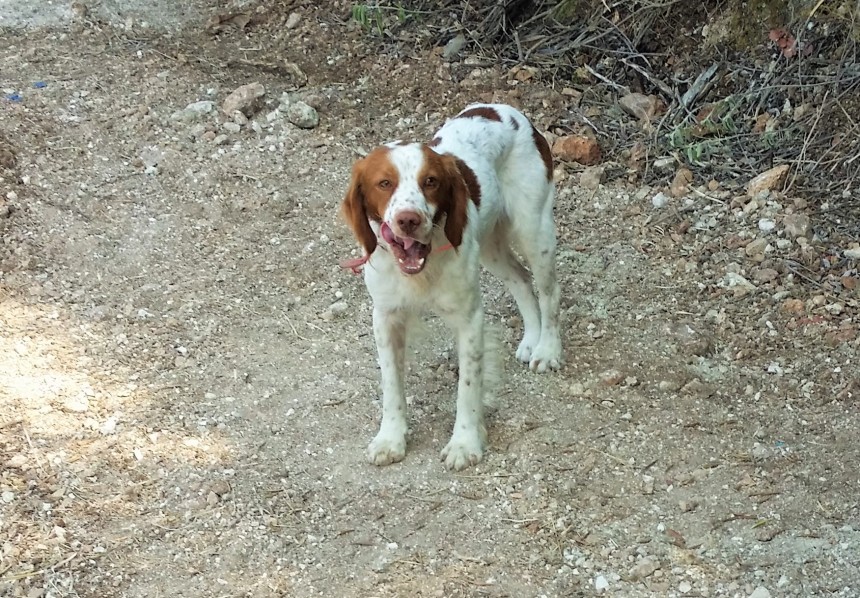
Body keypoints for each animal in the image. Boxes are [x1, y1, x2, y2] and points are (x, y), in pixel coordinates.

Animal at [342, 104, 564, 474]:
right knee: (521, 279)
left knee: (549, 292)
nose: (408, 220)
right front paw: (390, 439)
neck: (422, 267)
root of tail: (504, 110)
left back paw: (547, 349)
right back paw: (531, 339)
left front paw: (464, 443)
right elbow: (391, 384)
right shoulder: (386, 317)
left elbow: (468, 387)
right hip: (489, 246)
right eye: (384, 183)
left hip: (535, 231)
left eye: (430, 182)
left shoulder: (469, 318)